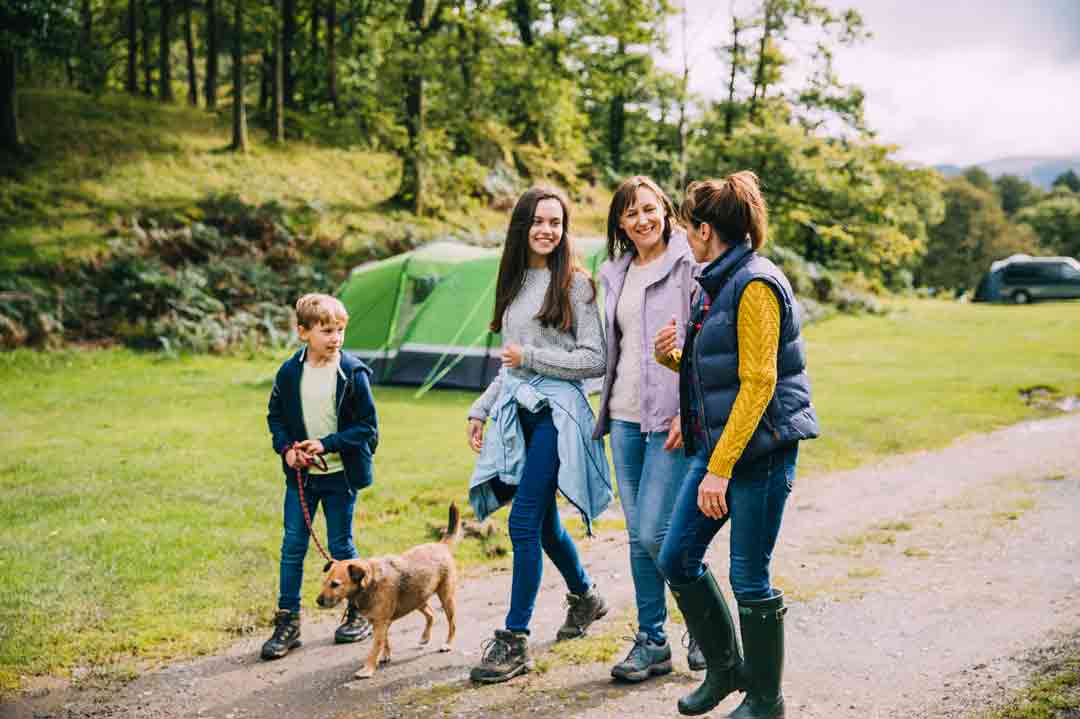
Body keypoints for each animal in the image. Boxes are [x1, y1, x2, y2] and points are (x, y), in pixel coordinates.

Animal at [315, 500, 460, 673]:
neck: (369, 583)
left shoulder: (380, 623)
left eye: (335, 584)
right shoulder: (380, 623)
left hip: (446, 598)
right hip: (417, 598)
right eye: (325, 583)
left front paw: (368, 669)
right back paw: (425, 638)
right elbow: (384, 642)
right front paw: (385, 656)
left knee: (452, 624)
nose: (318, 601)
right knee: (431, 614)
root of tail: (440, 545)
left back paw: (448, 644)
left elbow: (375, 647)